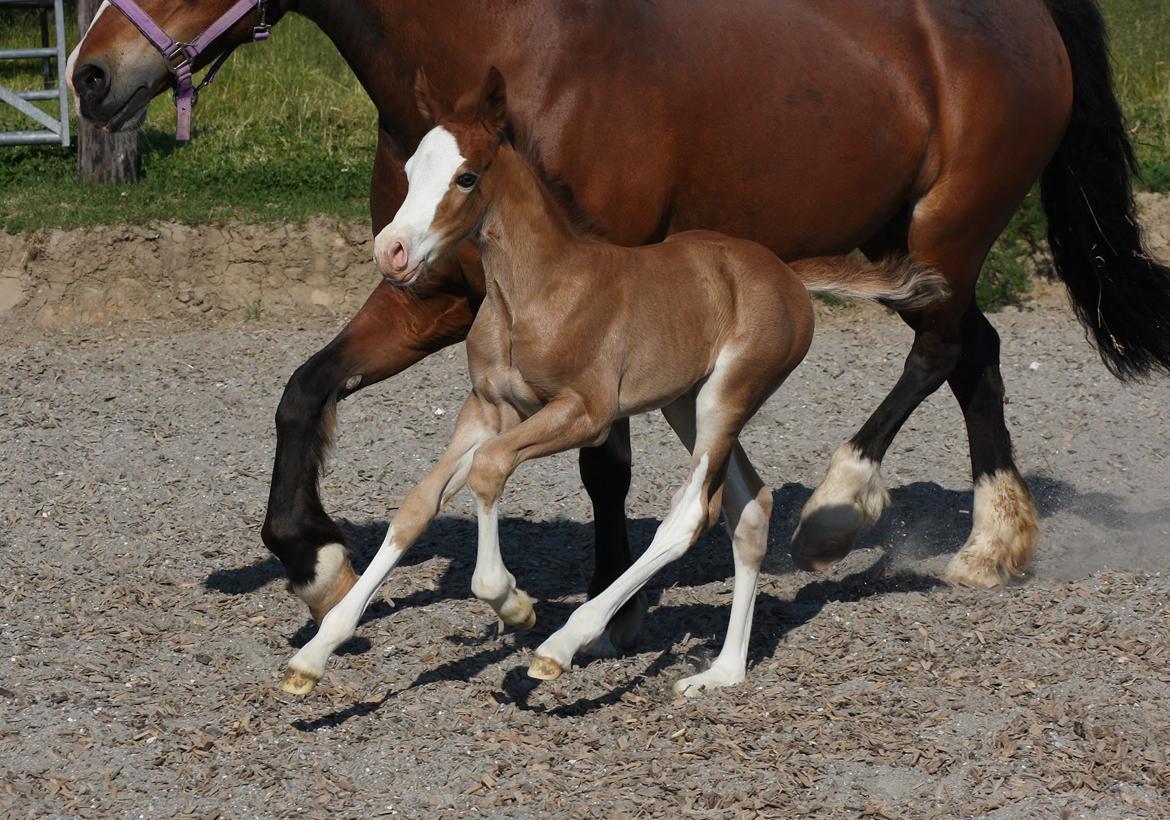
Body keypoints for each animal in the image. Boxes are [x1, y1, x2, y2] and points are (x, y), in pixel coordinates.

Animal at [278, 71, 945, 697]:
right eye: (412, 169)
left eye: (466, 178)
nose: (391, 252)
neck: (538, 290)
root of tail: (786, 274)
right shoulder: (489, 408)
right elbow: (418, 504)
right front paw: (315, 654)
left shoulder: (585, 413)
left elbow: (491, 472)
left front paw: (513, 605)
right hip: (686, 404)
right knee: (749, 506)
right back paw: (723, 672)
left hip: (727, 397)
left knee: (691, 514)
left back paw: (565, 644)